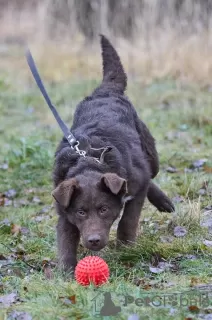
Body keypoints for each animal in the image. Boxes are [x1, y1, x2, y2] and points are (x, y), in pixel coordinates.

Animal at [51, 35, 174, 276]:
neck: (88, 161)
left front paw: (126, 249)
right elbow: (66, 239)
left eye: (104, 209)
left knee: (149, 174)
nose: (93, 241)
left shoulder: (135, 188)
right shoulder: (64, 207)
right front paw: (66, 272)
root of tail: (105, 91)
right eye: (81, 212)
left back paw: (163, 201)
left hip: (150, 155)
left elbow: (128, 220)